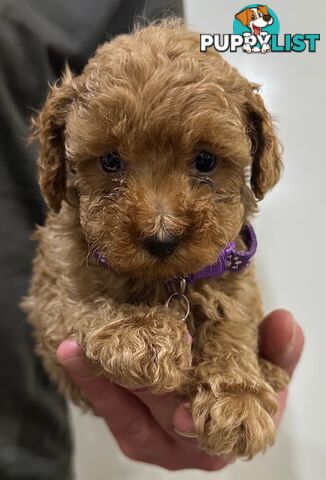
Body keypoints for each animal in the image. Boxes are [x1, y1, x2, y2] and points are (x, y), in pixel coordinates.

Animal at [22, 20, 288, 460]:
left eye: (205, 160)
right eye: (109, 161)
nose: (162, 238)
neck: (163, 282)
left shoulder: (235, 277)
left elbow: (233, 323)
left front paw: (238, 397)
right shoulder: (51, 293)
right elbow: (83, 307)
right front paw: (145, 334)